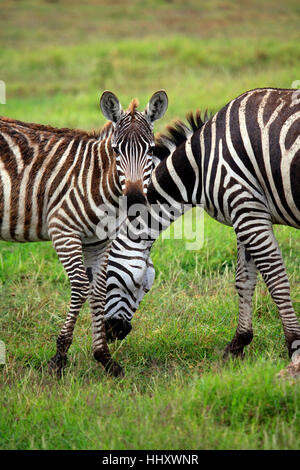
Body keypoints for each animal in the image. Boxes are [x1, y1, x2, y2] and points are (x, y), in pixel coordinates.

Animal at [0, 90, 169, 378]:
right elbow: (80, 287)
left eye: (150, 150)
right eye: (116, 150)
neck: (98, 180)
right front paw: (59, 357)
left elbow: (98, 290)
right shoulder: (63, 231)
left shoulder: (99, 241)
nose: (135, 200)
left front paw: (105, 358)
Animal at [102, 87, 300, 374]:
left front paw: (294, 345)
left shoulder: (247, 209)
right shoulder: (246, 213)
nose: (109, 332)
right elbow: (244, 280)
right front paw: (238, 344)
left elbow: (276, 280)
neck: (200, 166)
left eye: (106, 275)